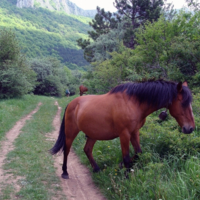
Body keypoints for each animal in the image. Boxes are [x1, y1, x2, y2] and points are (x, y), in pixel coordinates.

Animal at [49, 79, 194, 180]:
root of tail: (73, 103)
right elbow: (126, 157)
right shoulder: (124, 134)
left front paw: (121, 167)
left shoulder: (134, 132)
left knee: (87, 150)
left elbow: (138, 153)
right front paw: (126, 176)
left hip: (93, 134)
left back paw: (97, 169)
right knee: (66, 150)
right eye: (183, 103)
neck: (133, 103)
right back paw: (65, 172)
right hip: (71, 132)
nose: (190, 128)